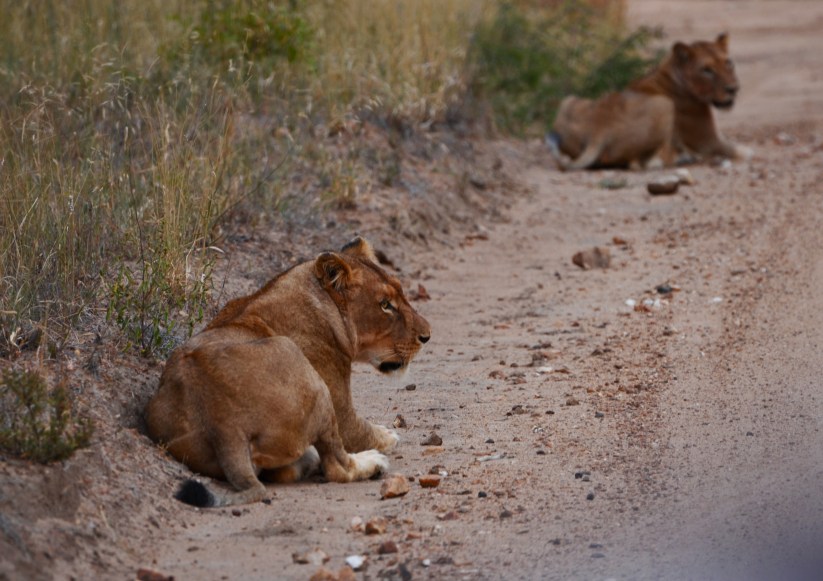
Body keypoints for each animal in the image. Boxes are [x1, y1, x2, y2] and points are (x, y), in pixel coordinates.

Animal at [145, 237, 432, 507]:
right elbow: (362, 431)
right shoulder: (341, 408)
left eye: (401, 294)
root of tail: (222, 422)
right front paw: (388, 436)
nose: (427, 336)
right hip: (305, 372)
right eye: (385, 305)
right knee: (337, 467)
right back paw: (371, 462)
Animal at [548, 33, 752, 170]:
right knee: (642, 164)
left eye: (728, 63)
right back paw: (683, 158)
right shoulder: (708, 141)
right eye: (706, 70)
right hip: (664, 104)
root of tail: (600, 128)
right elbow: (743, 151)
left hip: (568, 100)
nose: (733, 89)